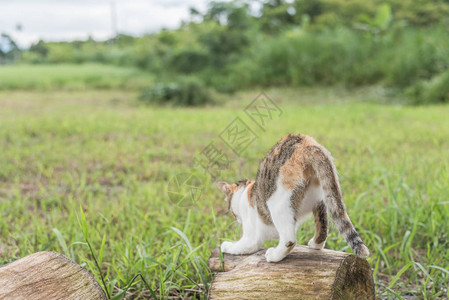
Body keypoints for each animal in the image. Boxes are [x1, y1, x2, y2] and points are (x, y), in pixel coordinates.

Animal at [216, 134, 368, 262]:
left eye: (230, 210)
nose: (237, 219)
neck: (247, 191)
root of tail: (307, 144)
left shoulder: (251, 237)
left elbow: (241, 246)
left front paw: (225, 246)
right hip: (322, 197)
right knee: (323, 226)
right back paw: (316, 244)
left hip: (277, 203)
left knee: (289, 240)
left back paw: (274, 256)